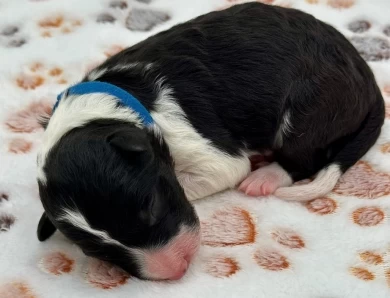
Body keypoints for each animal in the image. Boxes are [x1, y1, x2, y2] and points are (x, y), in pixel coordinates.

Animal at [35, 2, 386, 280]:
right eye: (95, 251)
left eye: (152, 206)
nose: (177, 269)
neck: (107, 103)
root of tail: (367, 75)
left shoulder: (206, 149)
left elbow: (219, 170)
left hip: (307, 110)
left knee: (304, 159)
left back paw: (264, 177)